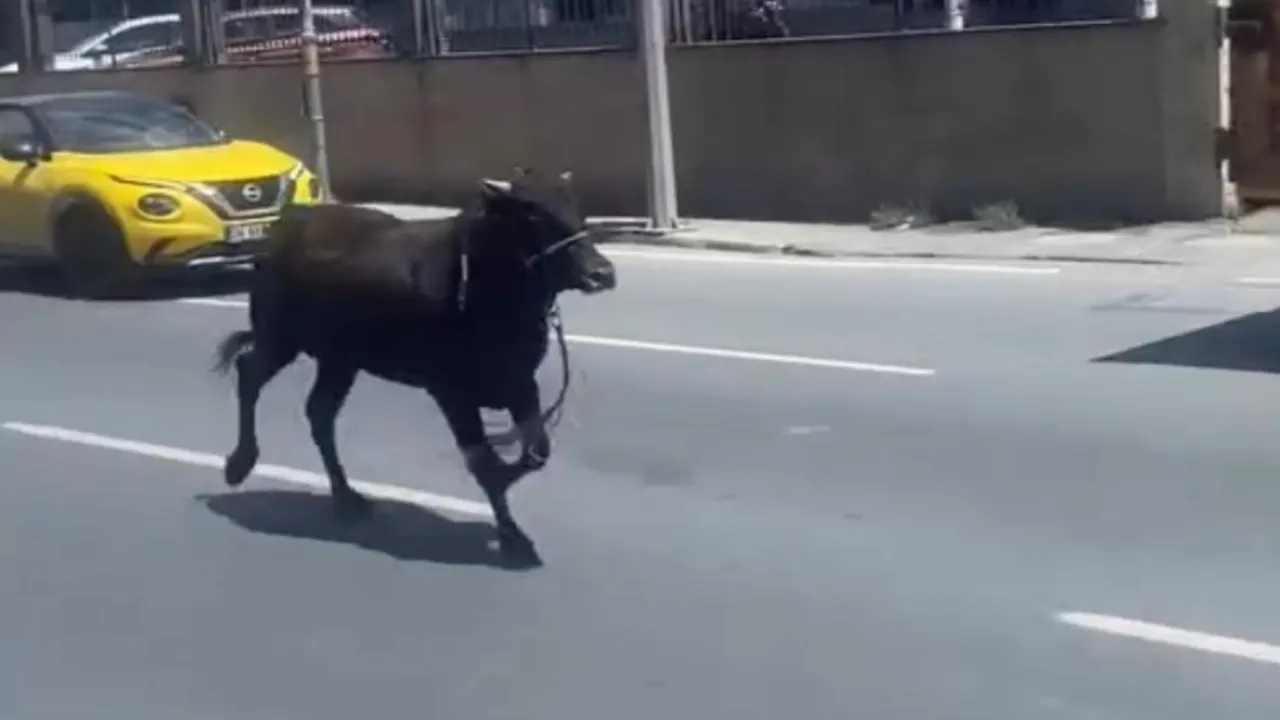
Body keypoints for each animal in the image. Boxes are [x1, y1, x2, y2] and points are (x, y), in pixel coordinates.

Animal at [211, 172, 619, 561]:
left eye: (574, 206)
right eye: (534, 214)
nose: (602, 273)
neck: (482, 283)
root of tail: (290, 223)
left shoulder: (520, 383)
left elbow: (535, 451)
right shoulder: (452, 392)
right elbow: (484, 462)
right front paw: (512, 536)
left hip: (339, 360)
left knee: (320, 413)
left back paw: (346, 496)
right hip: (280, 339)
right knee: (250, 373)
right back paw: (239, 464)